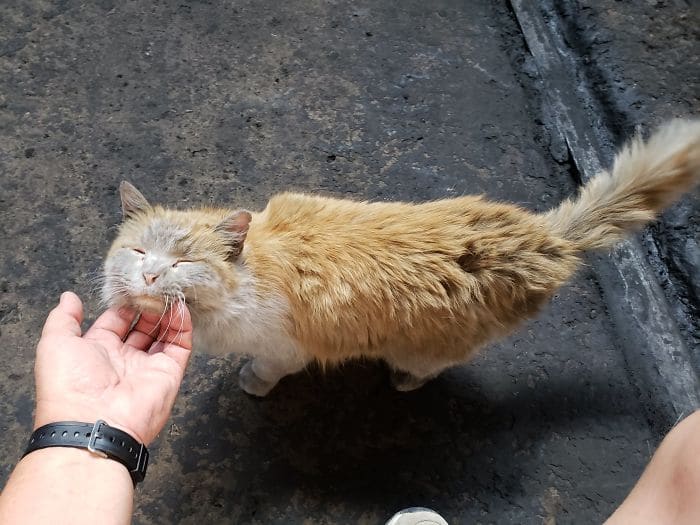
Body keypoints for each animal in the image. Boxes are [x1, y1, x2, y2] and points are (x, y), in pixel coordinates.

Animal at [102, 119, 700, 392]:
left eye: (183, 263)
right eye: (139, 250)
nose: (150, 274)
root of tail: (541, 237)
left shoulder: (286, 349)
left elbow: (267, 370)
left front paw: (252, 384)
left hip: (427, 349)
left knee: (431, 367)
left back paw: (405, 382)